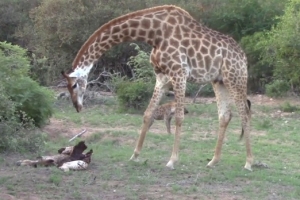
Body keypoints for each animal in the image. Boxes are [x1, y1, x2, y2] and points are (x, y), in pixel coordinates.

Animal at [61, 4, 253, 170]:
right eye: (68, 87)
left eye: (75, 84)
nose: (77, 106)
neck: (154, 33)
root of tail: (243, 56)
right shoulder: (162, 77)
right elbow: (147, 114)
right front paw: (135, 155)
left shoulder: (179, 73)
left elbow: (179, 117)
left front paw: (172, 160)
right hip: (219, 81)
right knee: (225, 116)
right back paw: (213, 161)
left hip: (235, 78)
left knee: (245, 114)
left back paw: (249, 162)